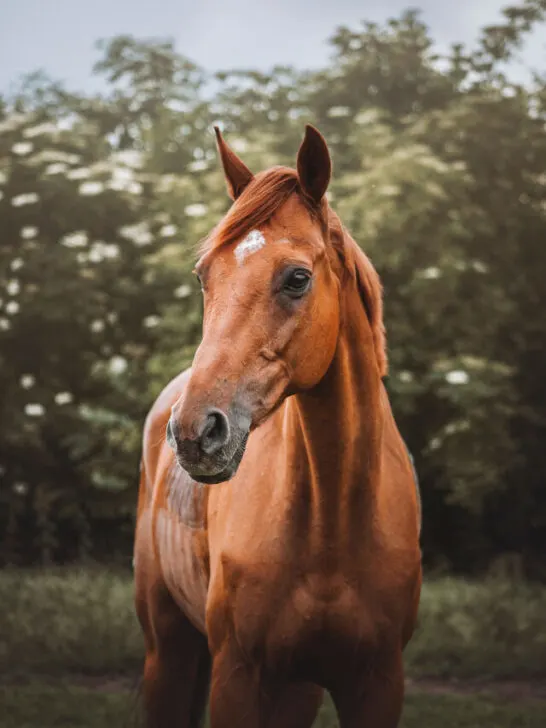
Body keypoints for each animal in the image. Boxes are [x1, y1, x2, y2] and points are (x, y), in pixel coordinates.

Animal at [133, 124, 422, 728]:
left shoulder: (378, 683)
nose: (195, 432)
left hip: (296, 689)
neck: (331, 527)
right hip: (166, 654)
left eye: (296, 279)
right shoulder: (237, 676)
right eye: (204, 276)